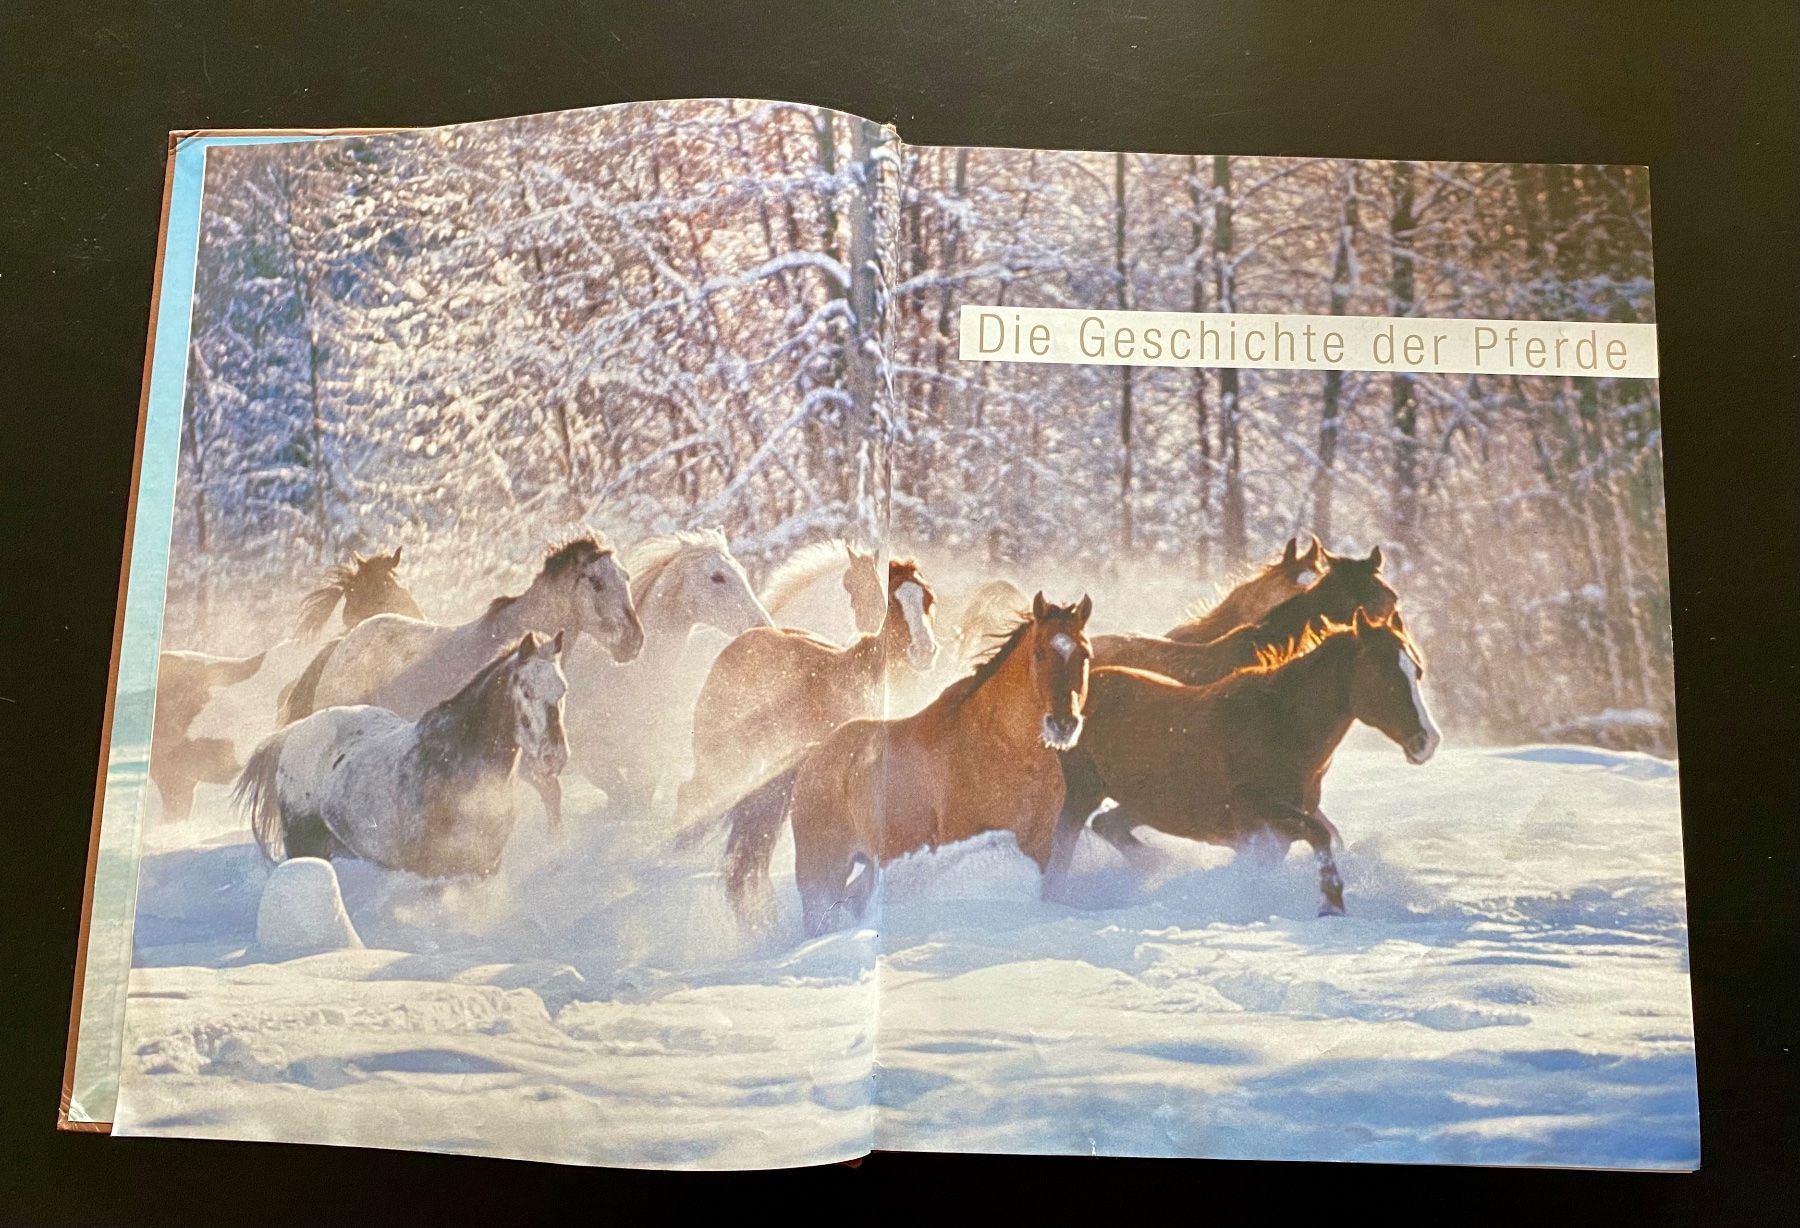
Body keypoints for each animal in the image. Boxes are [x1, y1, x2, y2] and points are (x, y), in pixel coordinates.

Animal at [237, 631, 569, 879]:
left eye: (562, 690)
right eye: (526, 690)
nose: (554, 756)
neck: (456, 759)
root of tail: (293, 733)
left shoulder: (484, 865)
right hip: (305, 847)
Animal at [562, 529, 773, 815]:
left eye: (741, 570)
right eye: (716, 577)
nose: (762, 627)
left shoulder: (648, 767)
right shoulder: (590, 760)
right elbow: (622, 799)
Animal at [723, 593, 1095, 935]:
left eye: (1084, 654)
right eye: (1039, 652)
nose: (1063, 723)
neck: (1005, 749)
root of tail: (814, 756)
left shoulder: (1040, 847)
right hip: (822, 869)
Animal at [1046, 609, 1439, 916]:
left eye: (1417, 671)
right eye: (1383, 673)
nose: (1427, 742)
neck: (1281, 724)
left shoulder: (1277, 826)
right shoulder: (1255, 809)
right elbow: (1319, 835)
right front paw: (1330, 905)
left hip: (1147, 804)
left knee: (1108, 825)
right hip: (1084, 793)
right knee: (1062, 852)